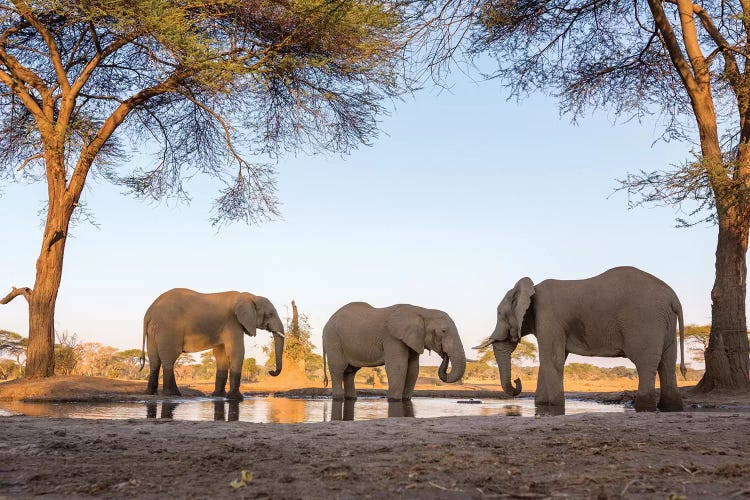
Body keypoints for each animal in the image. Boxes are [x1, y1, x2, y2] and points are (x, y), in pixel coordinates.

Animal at [140, 288, 284, 400]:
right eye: (270, 314)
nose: (271, 371)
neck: (250, 296)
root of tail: (148, 313)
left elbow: (221, 355)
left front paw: (219, 395)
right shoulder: (232, 323)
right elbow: (237, 352)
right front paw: (236, 398)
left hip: (153, 330)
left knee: (154, 360)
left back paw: (151, 393)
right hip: (168, 328)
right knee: (169, 358)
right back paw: (173, 394)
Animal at [324, 300, 468, 402]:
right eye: (443, 331)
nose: (444, 354)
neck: (423, 311)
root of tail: (327, 322)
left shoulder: (414, 338)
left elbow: (413, 369)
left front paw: (405, 400)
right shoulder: (392, 338)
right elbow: (398, 366)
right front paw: (394, 400)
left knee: (350, 372)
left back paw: (351, 398)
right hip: (333, 339)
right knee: (338, 369)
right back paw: (338, 398)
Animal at [478, 268, 692, 412]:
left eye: (499, 313)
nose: (517, 380)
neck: (531, 289)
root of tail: (673, 298)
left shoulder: (549, 316)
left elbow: (552, 359)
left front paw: (555, 407)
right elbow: (550, 360)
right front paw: (541, 406)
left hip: (645, 320)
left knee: (645, 363)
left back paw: (644, 408)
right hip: (665, 322)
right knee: (667, 363)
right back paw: (671, 408)